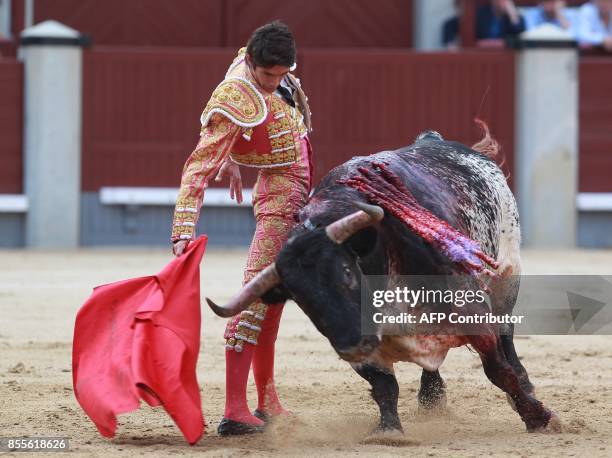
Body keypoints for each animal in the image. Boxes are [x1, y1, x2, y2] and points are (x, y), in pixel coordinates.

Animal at [207, 123, 560, 438]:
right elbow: (384, 386)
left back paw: (524, 381)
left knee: (506, 334)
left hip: (506, 275)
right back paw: (431, 397)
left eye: (347, 272)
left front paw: (539, 417)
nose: (353, 345)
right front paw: (389, 430)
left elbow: (498, 370)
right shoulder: (359, 344)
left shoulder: (472, 312)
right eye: (301, 299)